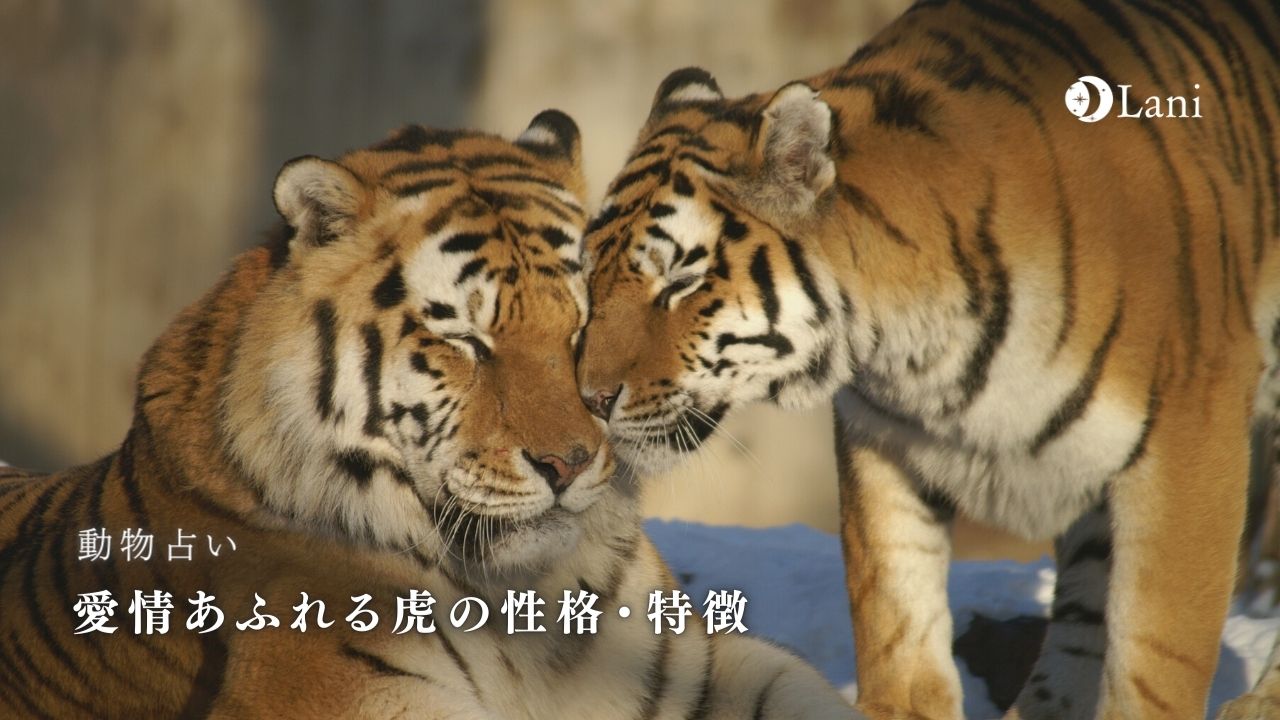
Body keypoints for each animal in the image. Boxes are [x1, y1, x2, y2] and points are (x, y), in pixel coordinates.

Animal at [574, 0, 1280, 717]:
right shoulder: (884, 443)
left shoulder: (1189, 435)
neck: (910, 347)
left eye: (680, 282)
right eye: (592, 276)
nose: (591, 398)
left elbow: (1156, 658)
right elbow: (897, 623)